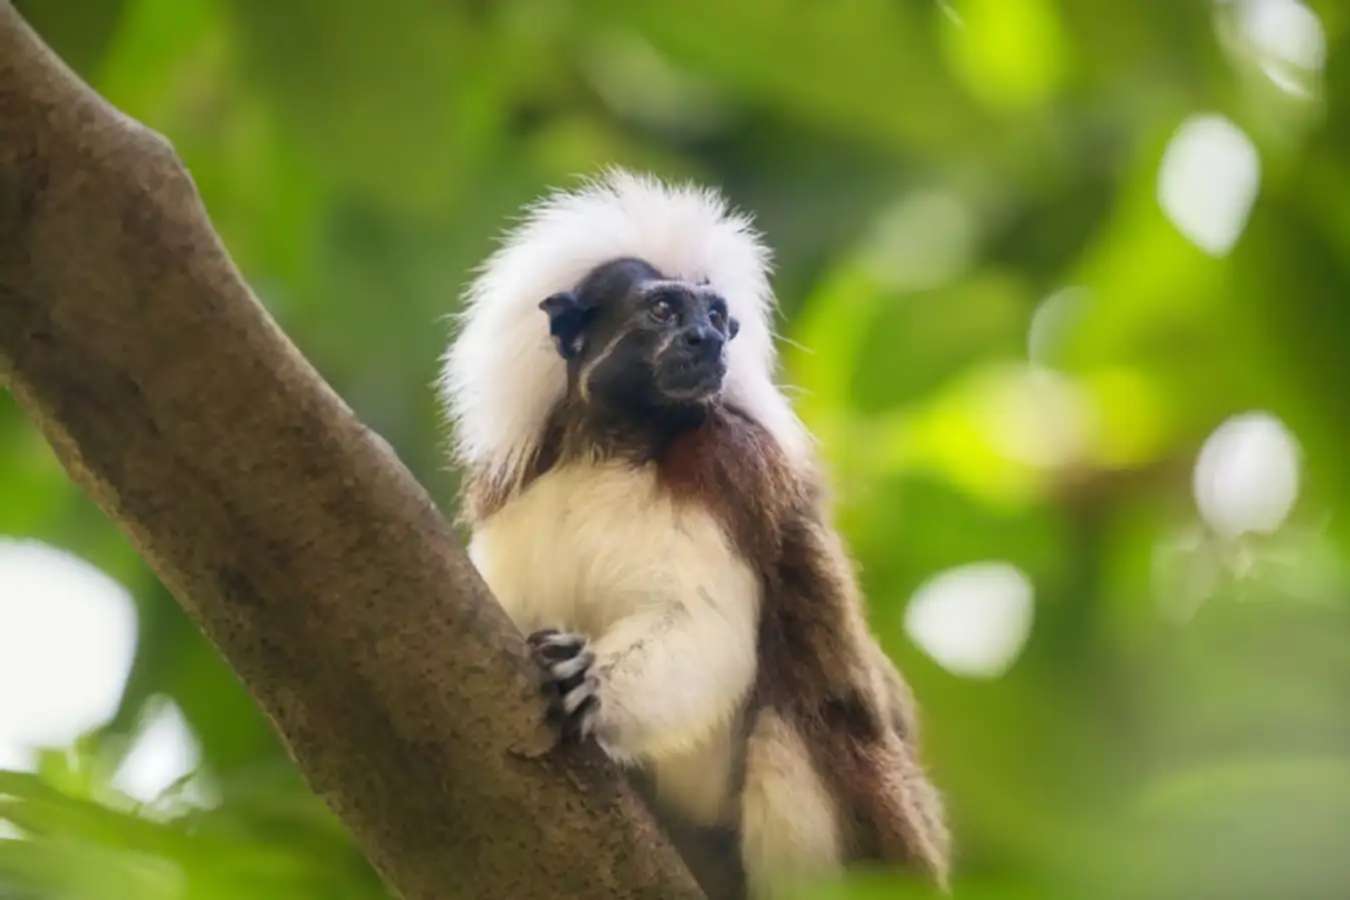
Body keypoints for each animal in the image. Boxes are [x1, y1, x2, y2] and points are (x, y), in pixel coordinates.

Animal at [442, 170, 950, 900]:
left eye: (716, 317)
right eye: (663, 311)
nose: (707, 343)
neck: (614, 449)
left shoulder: (729, 471)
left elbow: (706, 629)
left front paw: (587, 679)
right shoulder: (521, 496)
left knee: (792, 729)